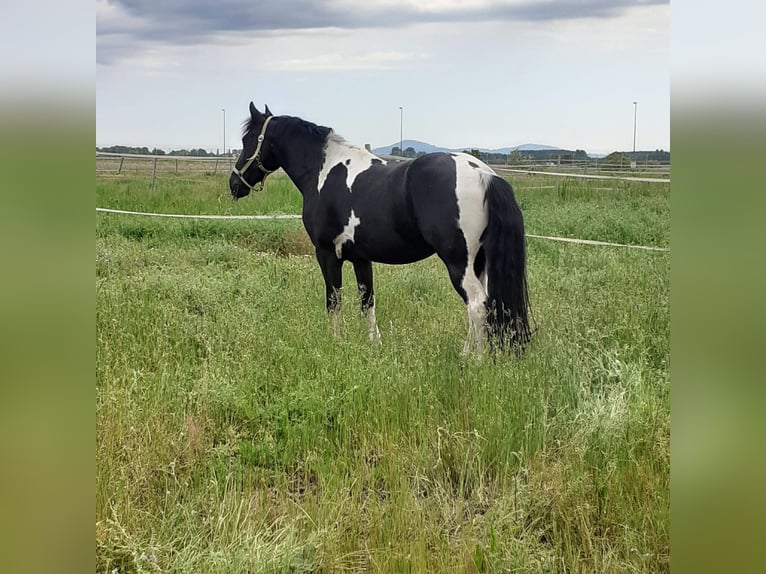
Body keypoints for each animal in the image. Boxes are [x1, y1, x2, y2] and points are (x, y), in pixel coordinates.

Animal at [230, 103, 536, 356]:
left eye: (247, 140)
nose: (234, 184)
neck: (324, 172)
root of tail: (485, 174)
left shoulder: (327, 254)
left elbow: (334, 300)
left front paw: (334, 343)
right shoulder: (361, 257)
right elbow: (367, 300)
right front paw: (373, 344)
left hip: (459, 262)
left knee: (476, 305)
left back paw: (474, 361)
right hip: (480, 262)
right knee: (486, 305)